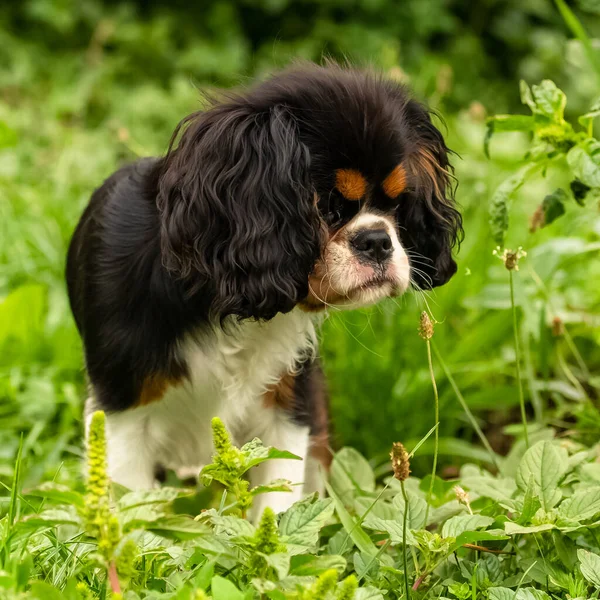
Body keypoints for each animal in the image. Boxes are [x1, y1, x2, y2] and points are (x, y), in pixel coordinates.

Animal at [67, 62, 460, 516]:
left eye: (397, 204)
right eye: (325, 208)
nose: (378, 240)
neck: (215, 302)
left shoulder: (287, 407)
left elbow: (278, 502)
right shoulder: (122, 414)